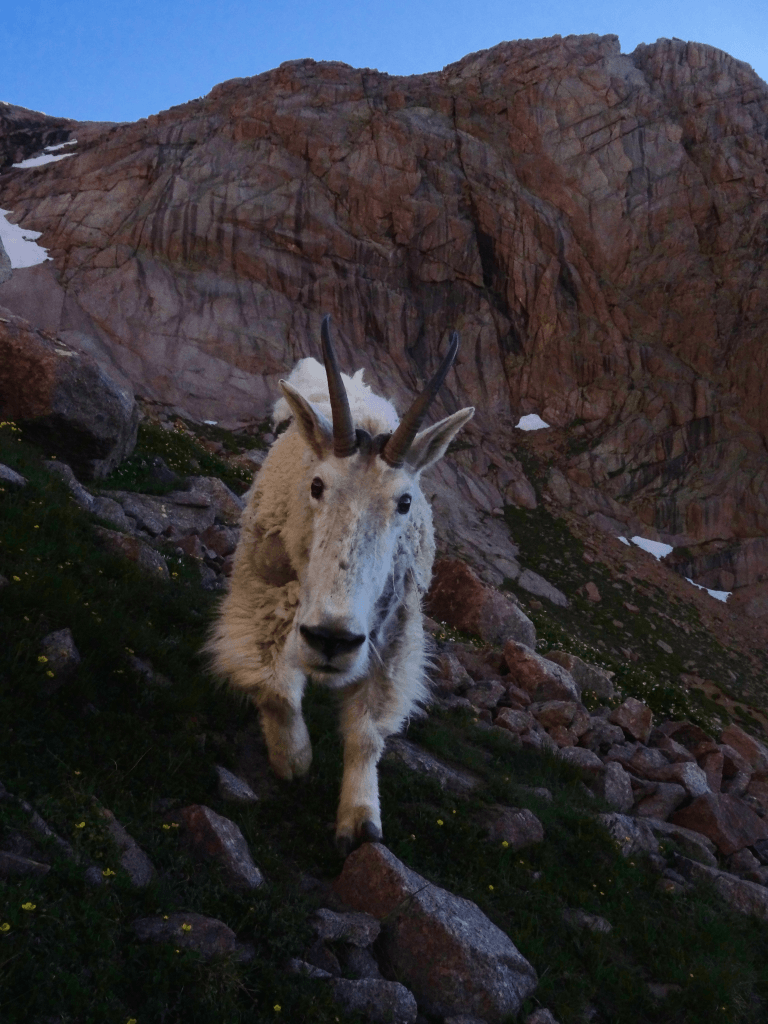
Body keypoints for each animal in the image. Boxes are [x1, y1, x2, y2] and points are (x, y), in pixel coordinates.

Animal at [210, 315, 475, 851]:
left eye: (405, 501)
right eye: (317, 485)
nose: (331, 640)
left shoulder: (392, 636)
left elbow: (367, 732)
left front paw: (360, 821)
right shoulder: (262, 598)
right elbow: (275, 688)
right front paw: (294, 761)